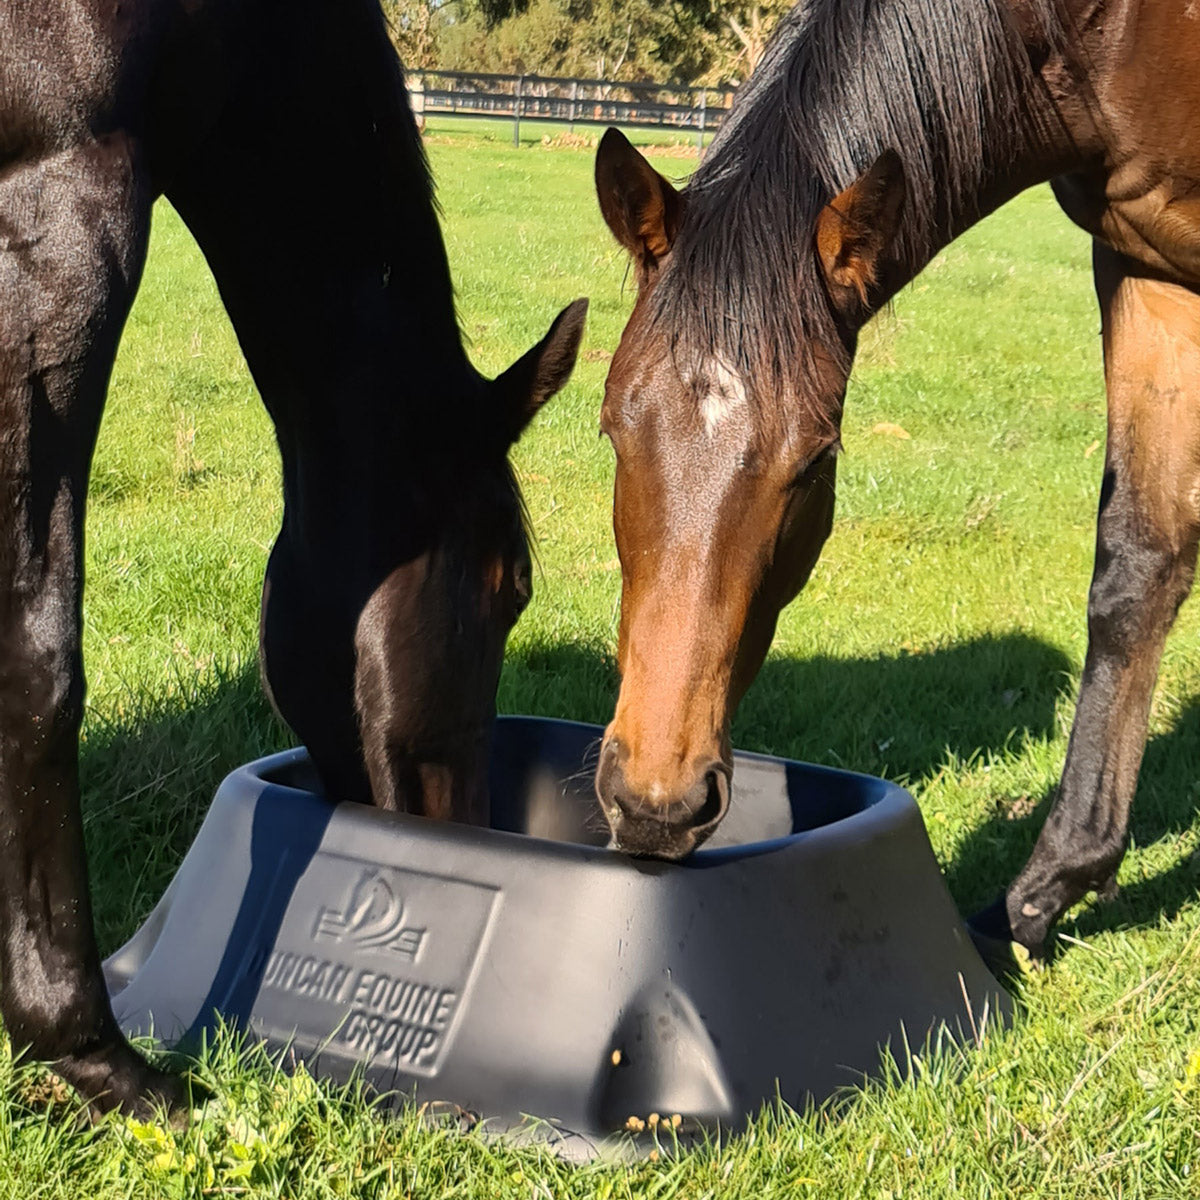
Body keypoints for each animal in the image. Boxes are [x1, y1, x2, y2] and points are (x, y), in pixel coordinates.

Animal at [592, 0, 1200, 967]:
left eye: (815, 462)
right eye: (614, 430)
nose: (655, 804)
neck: (1106, 30)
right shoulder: (1149, 268)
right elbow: (1140, 568)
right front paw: (1043, 896)